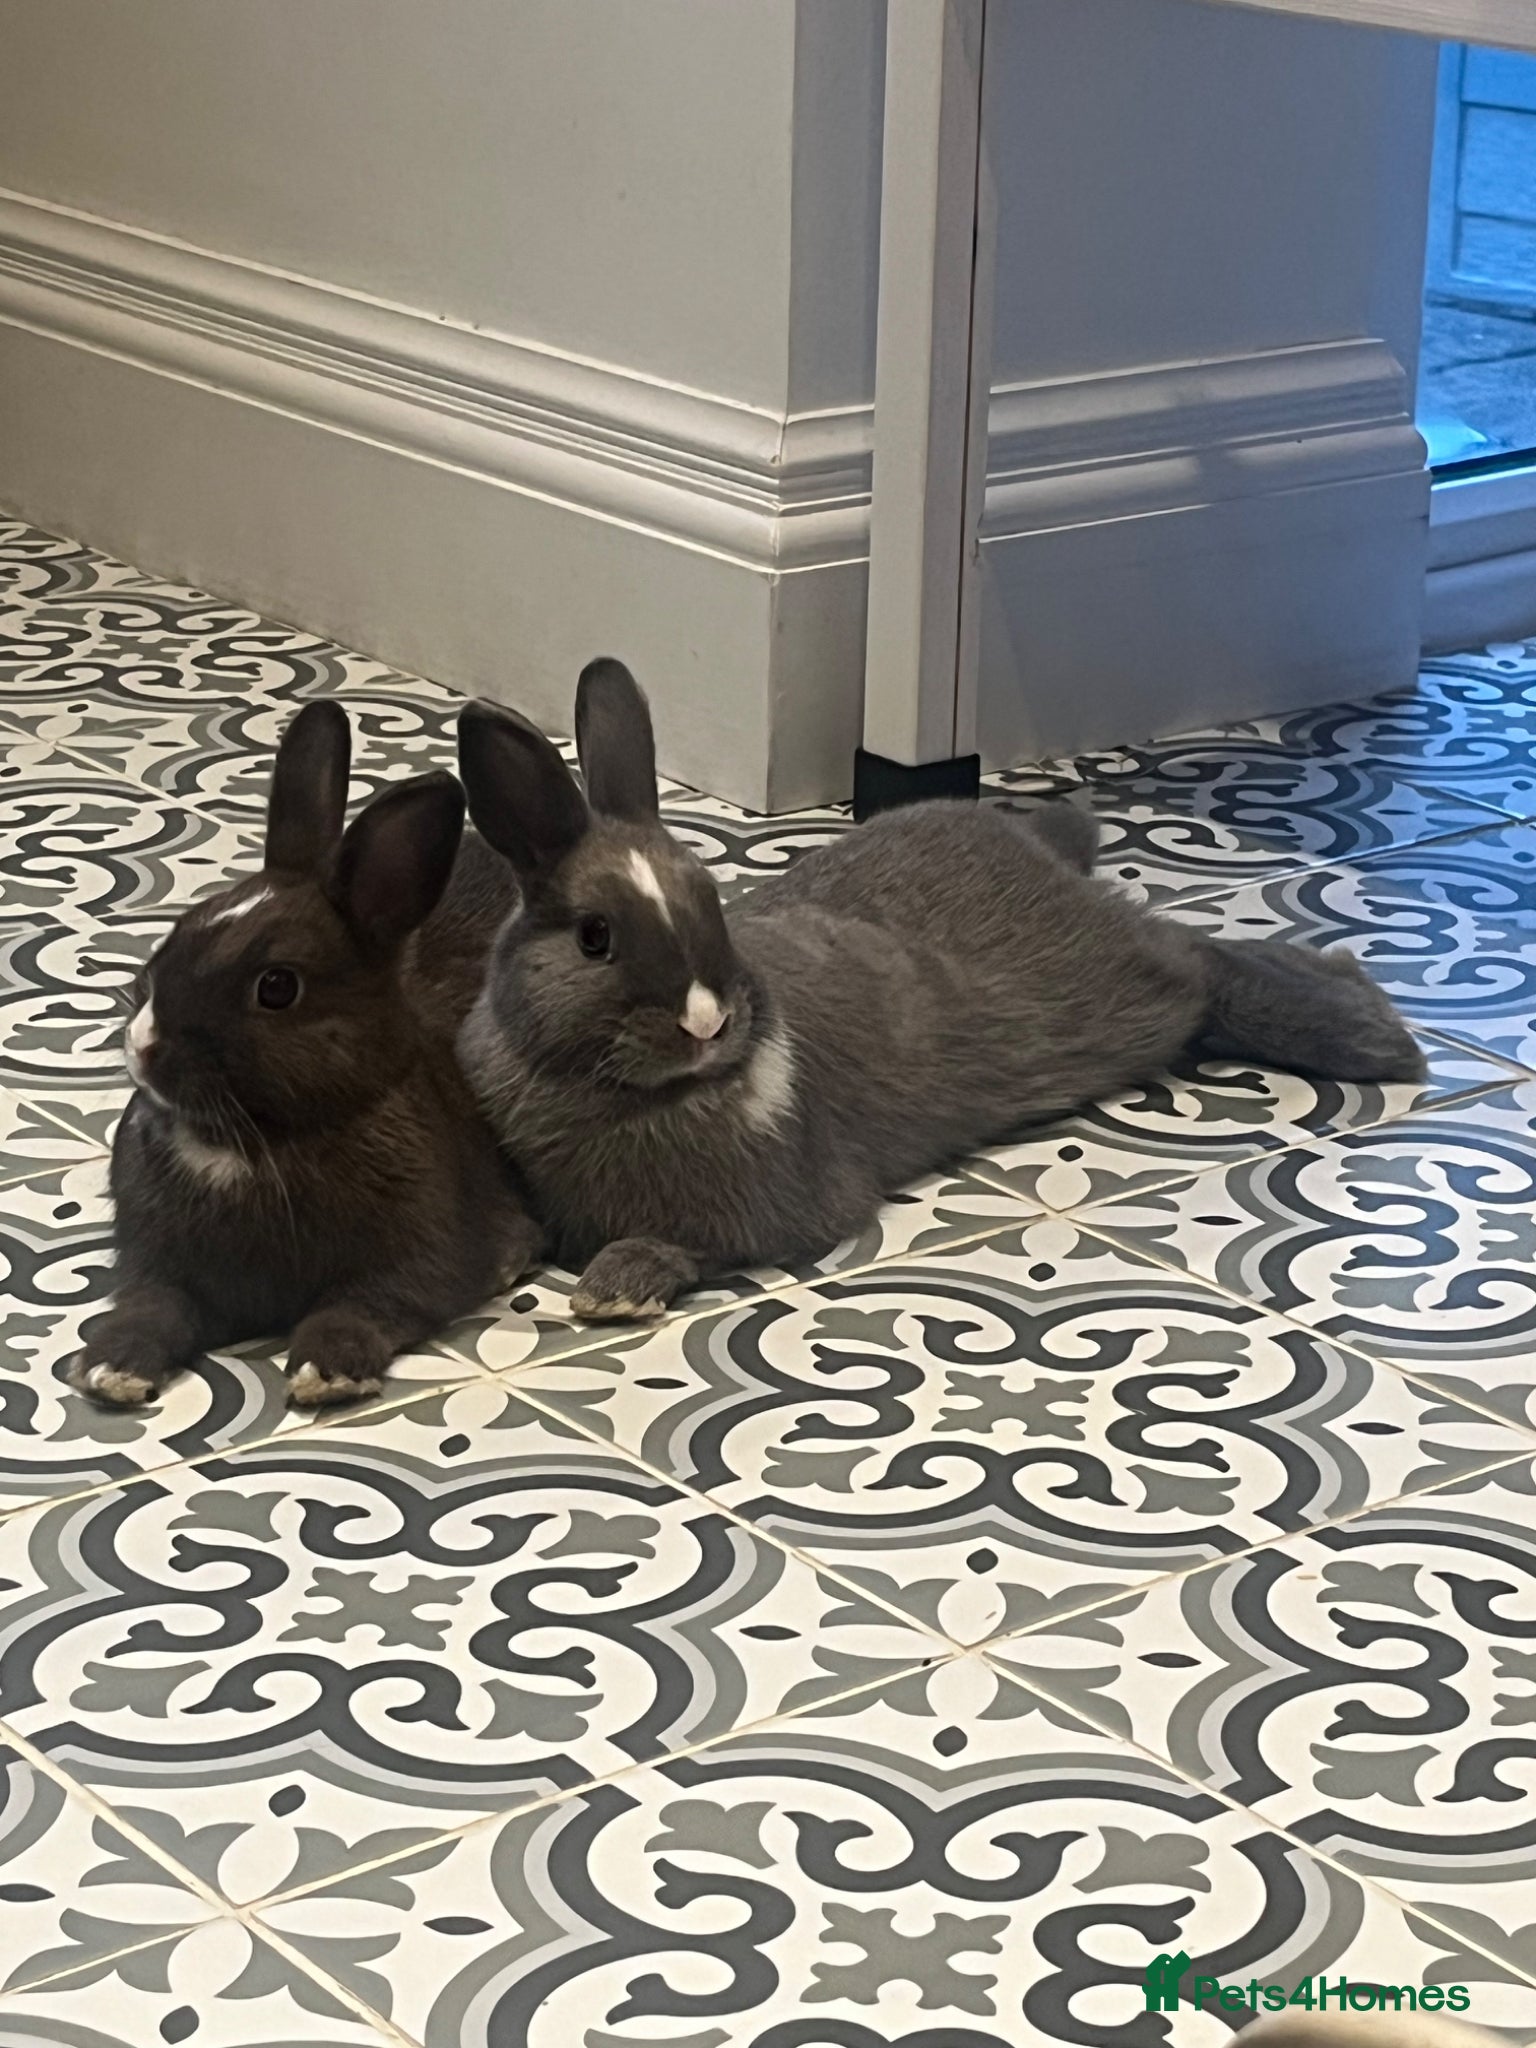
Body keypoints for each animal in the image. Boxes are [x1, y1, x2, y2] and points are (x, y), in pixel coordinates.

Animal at [74, 699, 540, 1409]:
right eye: (177, 933)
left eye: (277, 988)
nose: (145, 1046)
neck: (248, 1141)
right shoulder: (158, 1266)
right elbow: (150, 1308)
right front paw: (114, 1369)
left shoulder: (414, 1263)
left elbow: (360, 1308)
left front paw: (328, 1373)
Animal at [455, 659, 1423, 1322]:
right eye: (595, 937)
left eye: (708, 899)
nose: (709, 1020)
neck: (623, 1097)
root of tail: (1043, 848)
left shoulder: (775, 1210)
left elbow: (694, 1245)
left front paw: (614, 1287)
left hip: (1124, 988)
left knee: (1206, 965)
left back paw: (1381, 1038)